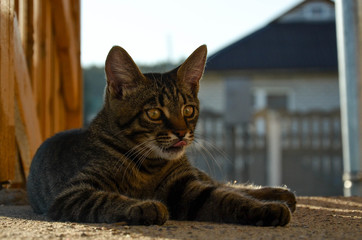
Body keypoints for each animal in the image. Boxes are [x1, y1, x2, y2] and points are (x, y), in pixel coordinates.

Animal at [26, 45, 296, 227]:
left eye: (188, 110)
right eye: (154, 113)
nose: (181, 132)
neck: (149, 165)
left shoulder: (185, 187)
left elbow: (227, 197)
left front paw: (266, 209)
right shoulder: (72, 195)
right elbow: (107, 199)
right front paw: (144, 206)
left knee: (222, 184)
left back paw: (278, 194)